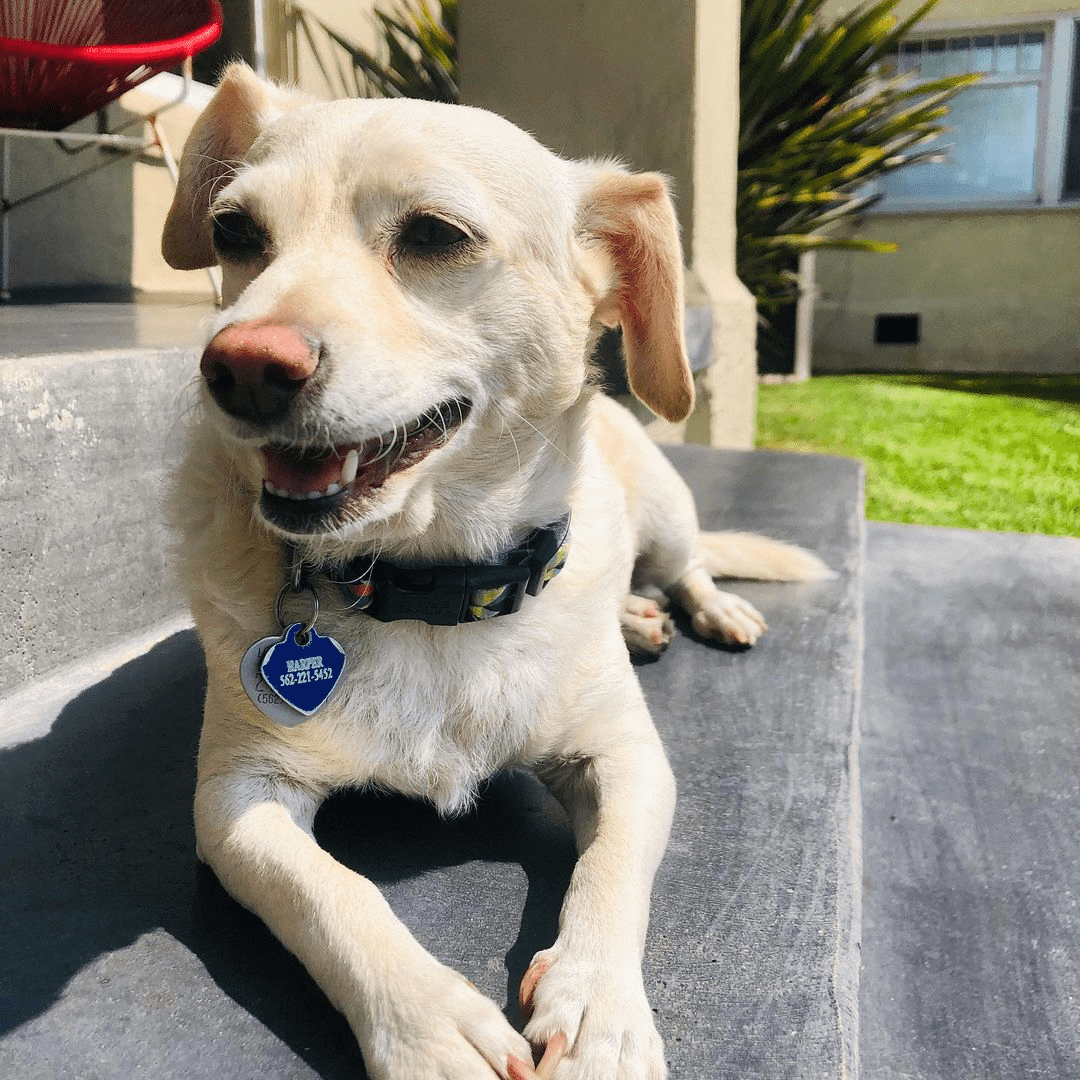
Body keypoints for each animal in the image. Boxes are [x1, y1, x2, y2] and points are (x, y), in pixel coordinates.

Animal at [159, 67, 825, 1080]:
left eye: (435, 235)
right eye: (235, 232)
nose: (239, 364)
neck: (427, 588)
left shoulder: (630, 760)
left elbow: (610, 874)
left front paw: (601, 1011)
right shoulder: (237, 800)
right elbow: (333, 894)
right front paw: (431, 1027)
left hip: (669, 510)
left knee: (690, 566)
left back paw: (700, 611)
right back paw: (638, 619)